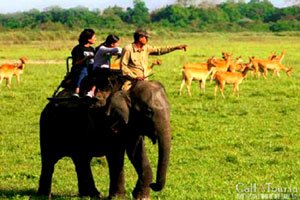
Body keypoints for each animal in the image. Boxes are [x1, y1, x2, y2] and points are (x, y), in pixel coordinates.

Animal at [37, 80, 171, 200]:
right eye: (149, 112)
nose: (153, 185)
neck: (126, 91)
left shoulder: (131, 125)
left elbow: (137, 153)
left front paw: (141, 197)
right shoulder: (109, 123)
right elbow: (116, 156)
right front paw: (118, 197)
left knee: (81, 160)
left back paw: (90, 195)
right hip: (47, 127)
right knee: (49, 160)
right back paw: (44, 196)